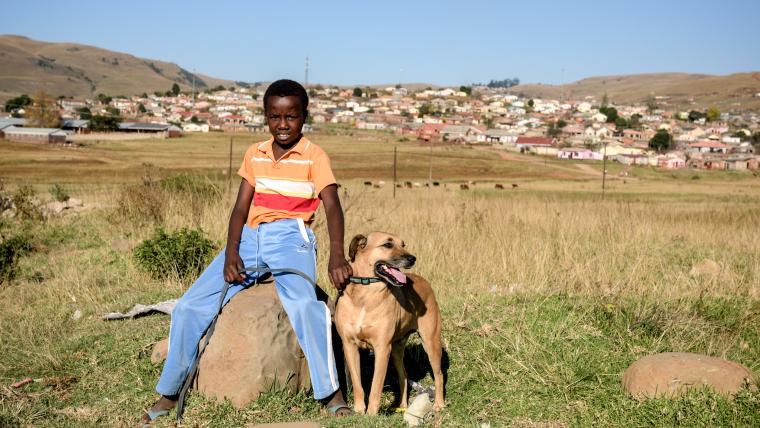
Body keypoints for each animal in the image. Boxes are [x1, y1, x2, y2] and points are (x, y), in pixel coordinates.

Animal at [334, 234, 446, 414]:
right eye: (387, 244)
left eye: (403, 245)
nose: (412, 258)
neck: (365, 294)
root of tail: (424, 281)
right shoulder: (350, 346)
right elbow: (358, 385)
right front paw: (358, 411)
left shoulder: (381, 348)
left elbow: (375, 387)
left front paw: (371, 414)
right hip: (396, 349)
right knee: (404, 375)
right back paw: (402, 406)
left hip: (431, 343)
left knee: (439, 375)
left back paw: (439, 404)